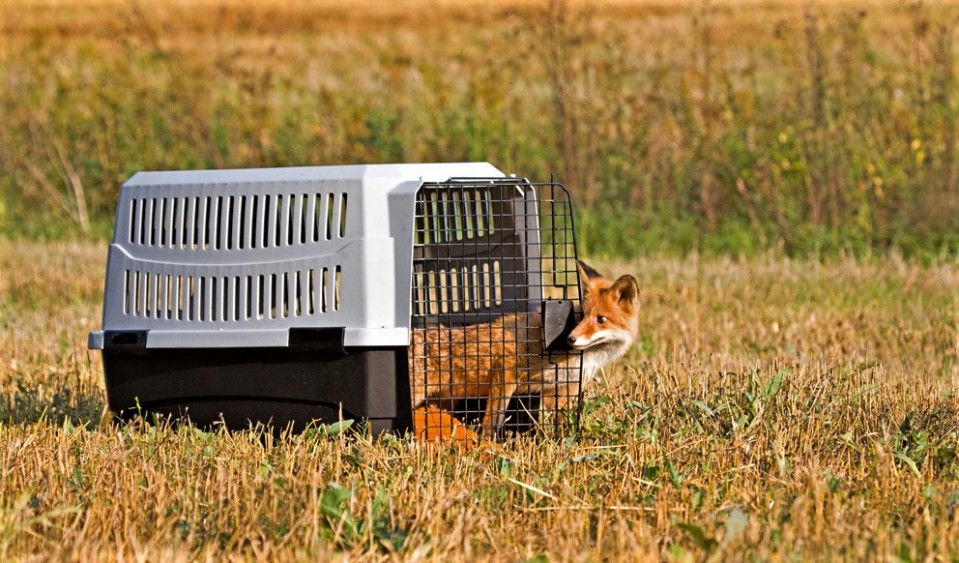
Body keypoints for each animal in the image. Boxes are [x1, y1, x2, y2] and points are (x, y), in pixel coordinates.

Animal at [408, 262, 640, 438]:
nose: (570, 339)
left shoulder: (559, 390)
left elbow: (561, 424)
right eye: (580, 317)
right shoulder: (506, 371)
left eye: (600, 319)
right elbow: (493, 420)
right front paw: (486, 445)